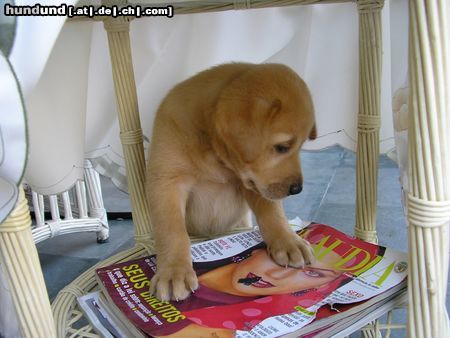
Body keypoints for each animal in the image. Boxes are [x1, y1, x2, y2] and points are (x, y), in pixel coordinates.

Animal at [147, 62, 316, 300]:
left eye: (300, 146)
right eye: (282, 147)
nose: (297, 189)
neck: (213, 152)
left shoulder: (253, 183)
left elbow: (273, 213)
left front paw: (289, 240)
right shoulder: (166, 182)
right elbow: (172, 230)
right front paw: (173, 271)